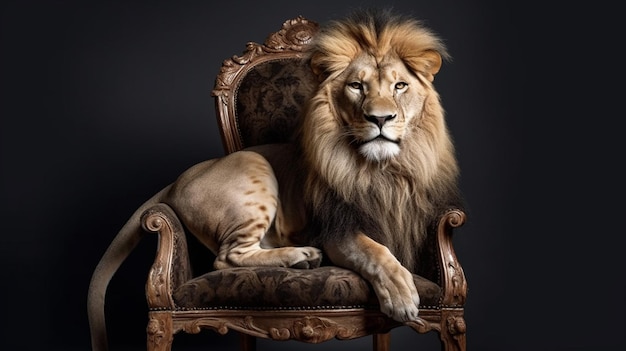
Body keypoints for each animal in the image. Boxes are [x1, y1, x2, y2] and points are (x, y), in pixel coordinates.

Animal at [88, 8, 460, 351]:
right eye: (357, 86)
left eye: (400, 86)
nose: (380, 118)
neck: (382, 169)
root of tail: (178, 180)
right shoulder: (337, 231)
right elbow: (376, 252)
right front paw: (402, 295)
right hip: (254, 165)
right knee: (227, 258)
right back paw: (302, 256)